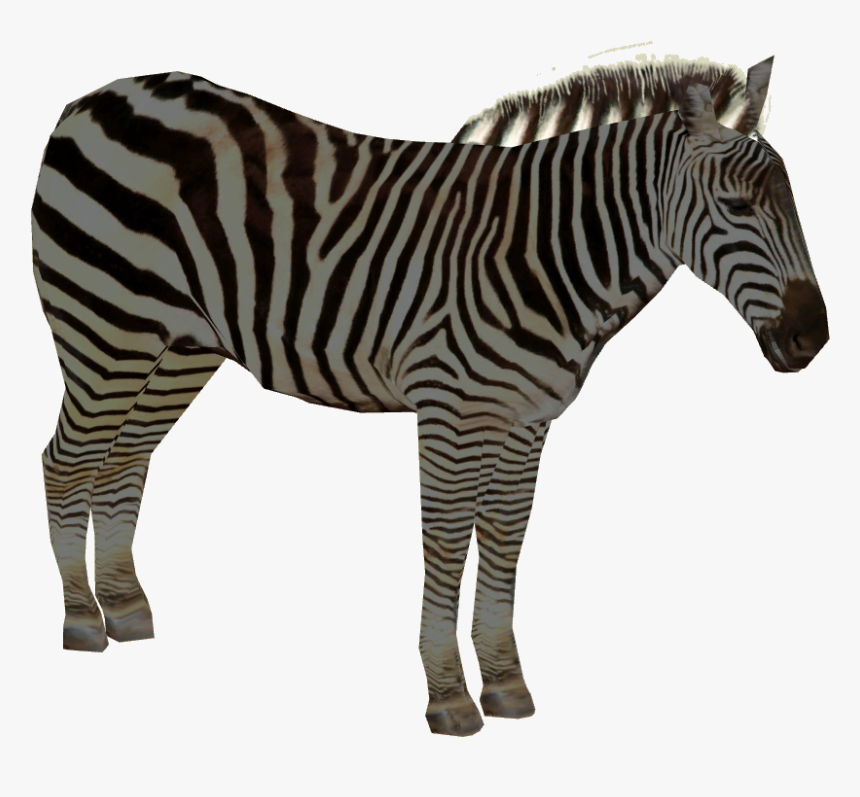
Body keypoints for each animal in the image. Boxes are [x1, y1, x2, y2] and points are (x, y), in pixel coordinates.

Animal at [32, 57, 828, 738]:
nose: (812, 338)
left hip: (177, 343)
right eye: (735, 206)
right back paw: (81, 621)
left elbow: (506, 537)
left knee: (124, 457)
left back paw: (124, 608)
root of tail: (99, 94)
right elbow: (446, 540)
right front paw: (448, 696)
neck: (543, 251)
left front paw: (505, 684)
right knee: (65, 461)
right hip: (105, 322)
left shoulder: (527, 418)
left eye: (793, 203)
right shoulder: (453, 408)